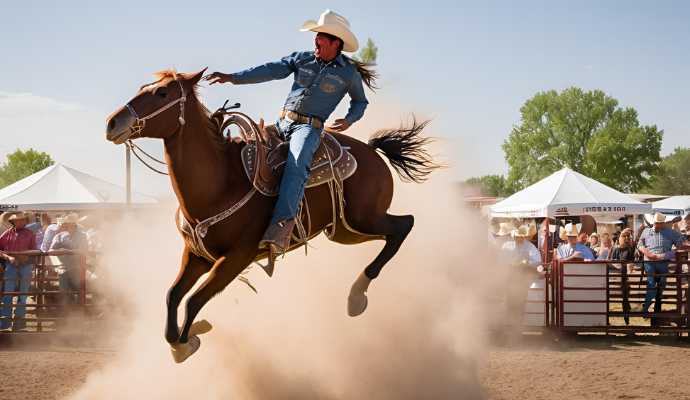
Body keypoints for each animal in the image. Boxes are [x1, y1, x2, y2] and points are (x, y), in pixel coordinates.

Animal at [103, 69, 436, 362]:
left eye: (162, 93)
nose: (112, 122)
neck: (220, 183)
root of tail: (372, 151)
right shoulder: (196, 255)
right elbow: (173, 295)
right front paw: (184, 339)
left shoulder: (236, 258)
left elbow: (194, 300)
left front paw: (187, 342)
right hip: (344, 230)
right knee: (392, 233)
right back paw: (358, 292)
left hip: (363, 218)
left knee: (405, 224)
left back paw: (356, 295)